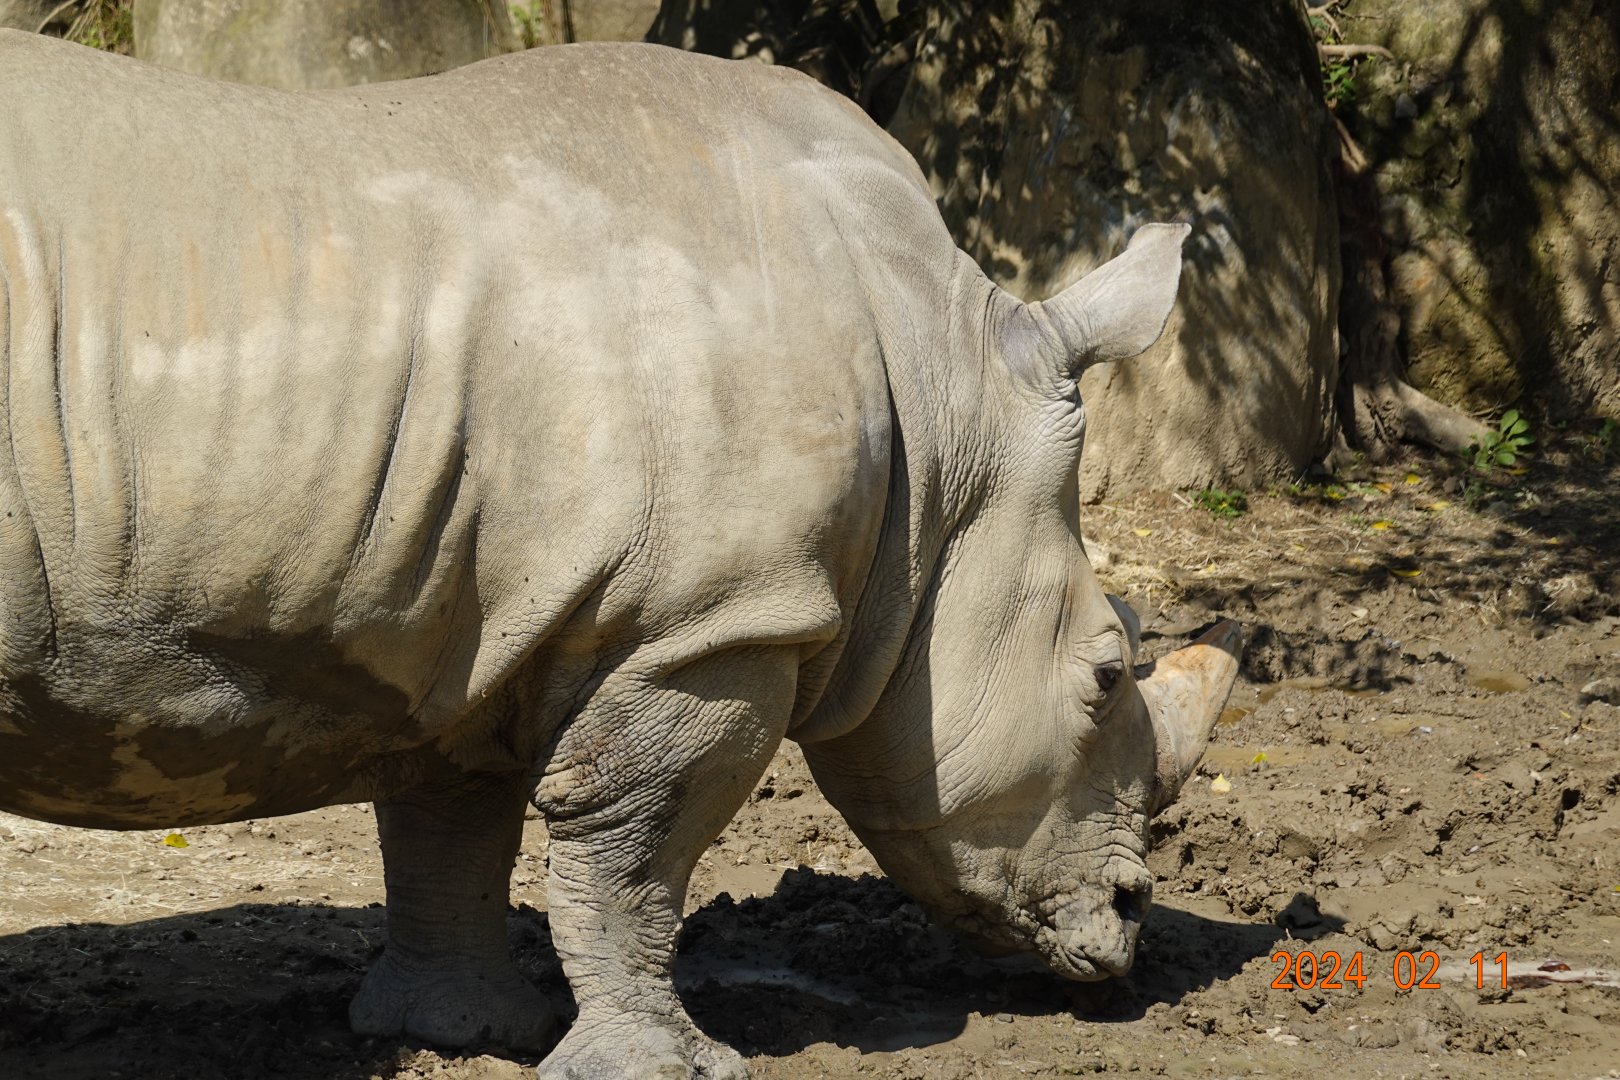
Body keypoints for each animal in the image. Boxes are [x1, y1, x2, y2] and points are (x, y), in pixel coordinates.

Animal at [0, 30, 1241, 1079]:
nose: (1129, 920)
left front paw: (461, 1032)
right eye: (1106, 674)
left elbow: (451, 822)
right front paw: (671, 1065)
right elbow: (639, 847)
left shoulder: (470, 619)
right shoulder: (708, 622)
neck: (948, 422)